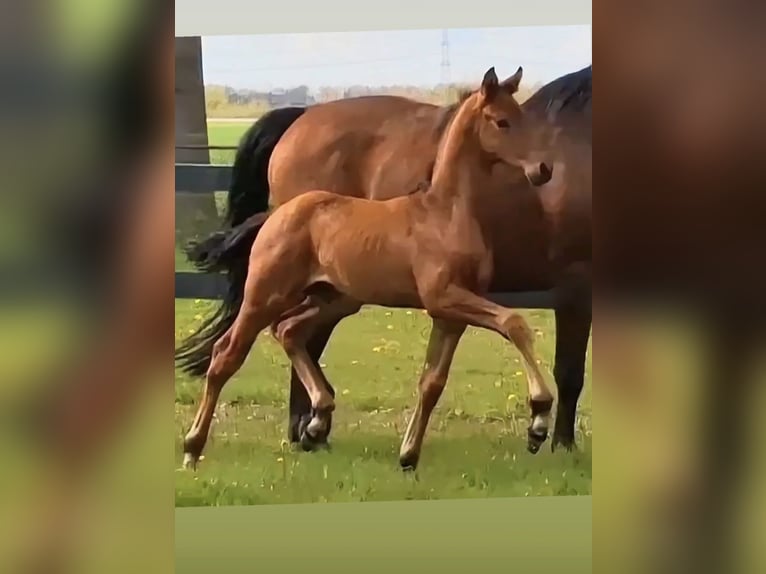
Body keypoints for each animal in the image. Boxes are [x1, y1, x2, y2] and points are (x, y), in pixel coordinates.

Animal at [176, 65, 592, 454]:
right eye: (501, 121)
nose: (542, 170)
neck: (444, 209)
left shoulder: (453, 307)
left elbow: (435, 378)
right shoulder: (568, 283)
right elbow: (561, 364)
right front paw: (556, 440)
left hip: (336, 295)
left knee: (291, 332)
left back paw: (313, 427)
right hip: (277, 292)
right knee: (254, 344)